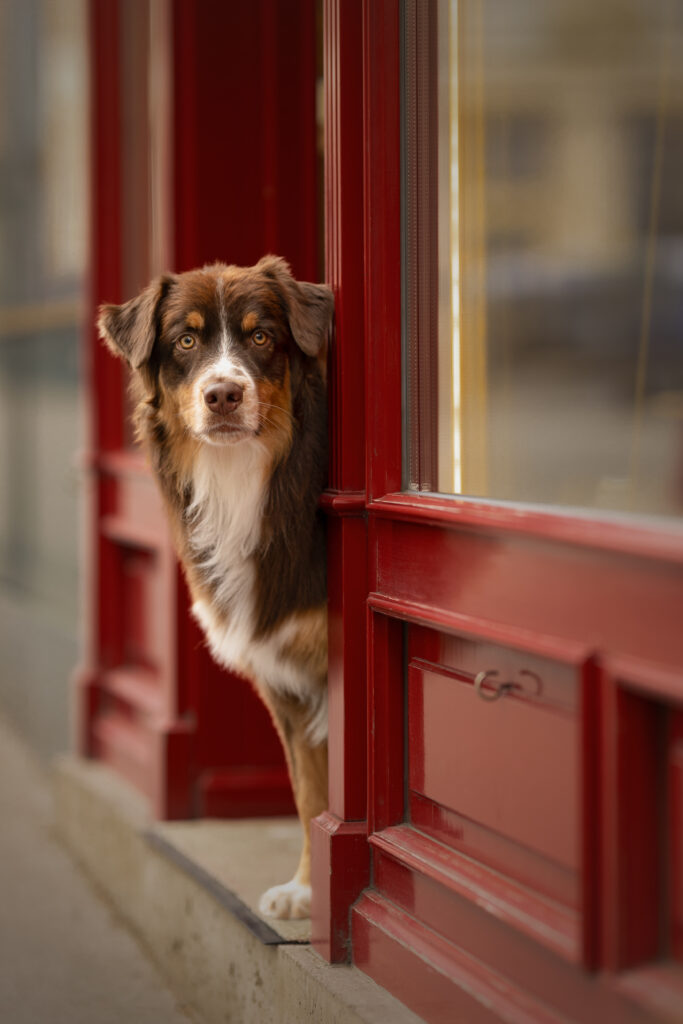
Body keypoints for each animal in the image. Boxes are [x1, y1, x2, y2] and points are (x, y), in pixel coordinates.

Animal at [99, 253, 333, 921]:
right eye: (185, 341)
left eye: (261, 337)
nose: (223, 394)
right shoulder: (286, 676)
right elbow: (309, 794)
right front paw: (309, 890)